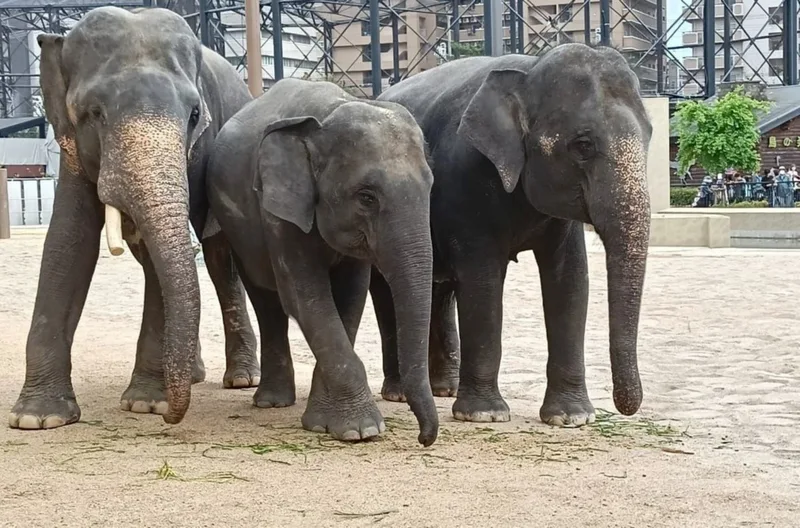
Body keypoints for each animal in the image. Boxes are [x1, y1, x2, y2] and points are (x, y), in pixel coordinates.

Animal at [8, 6, 260, 430]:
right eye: (94, 113)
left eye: (195, 114)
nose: (172, 419)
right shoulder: (72, 146)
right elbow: (68, 242)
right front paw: (37, 418)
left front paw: (146, 404)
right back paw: (191, 374)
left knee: (219, 258)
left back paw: (241, 378)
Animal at [205, 78, 439, 446]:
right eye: (366, 197)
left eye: (430, 187)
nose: (424, 439)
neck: (329, 113)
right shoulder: (278, 212)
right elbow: (306, 297)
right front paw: (361, 431)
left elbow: (350, 298)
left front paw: (325, 423)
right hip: (240, 228)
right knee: (266, 299)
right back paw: (271, 402)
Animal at [370, 42, 652, 426]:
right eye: (583, 145)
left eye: (650, 134)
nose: (626, 406)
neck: (528, 71)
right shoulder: (467, 181)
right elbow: (482, 280)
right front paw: (484, 414)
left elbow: (570, 281)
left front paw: (571, 418)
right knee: (389, 290)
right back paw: (399, 392)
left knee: (439, 291)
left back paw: (445, 389)